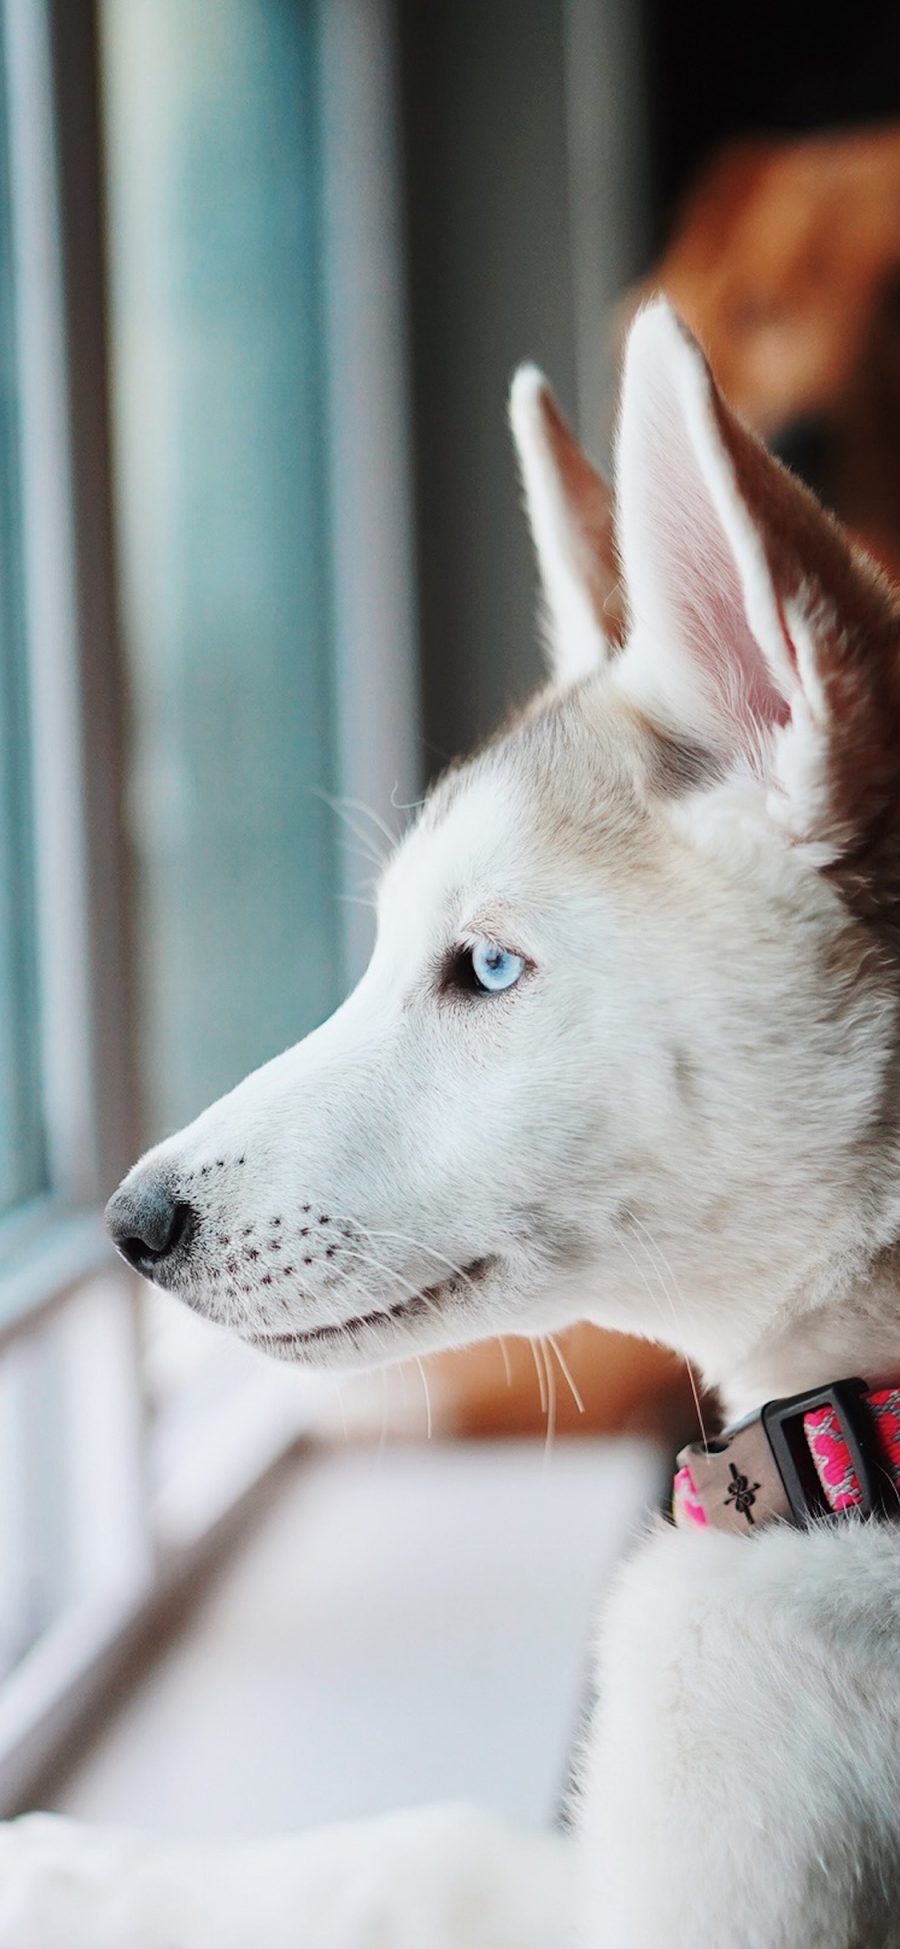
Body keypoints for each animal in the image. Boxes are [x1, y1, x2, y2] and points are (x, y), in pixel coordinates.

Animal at [5, 292, 900, 1949]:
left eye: (485, 969)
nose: (131, 1223)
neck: (864, 1426)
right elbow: (417, 1840)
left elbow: (412, 1856)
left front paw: (77, 1871)